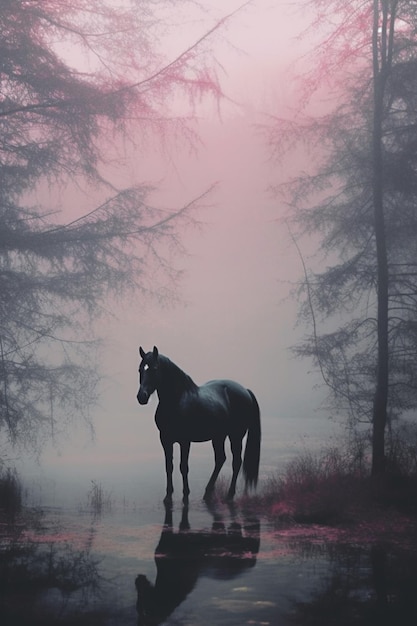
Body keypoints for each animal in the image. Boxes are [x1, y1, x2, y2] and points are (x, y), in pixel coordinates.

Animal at [136, 346, 260, 502]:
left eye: (154, 368)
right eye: (140, 369)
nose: (142, 397)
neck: (177, 400)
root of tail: (246, 391)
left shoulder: (185, 441)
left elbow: (183, 467)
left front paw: (185, 494)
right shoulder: (165, 439)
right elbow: (169, 466)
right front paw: (168, 496)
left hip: (235, 436)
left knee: (236, 462)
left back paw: (229, 495)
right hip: (218, 436)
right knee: (220, 459)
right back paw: (208, 492)